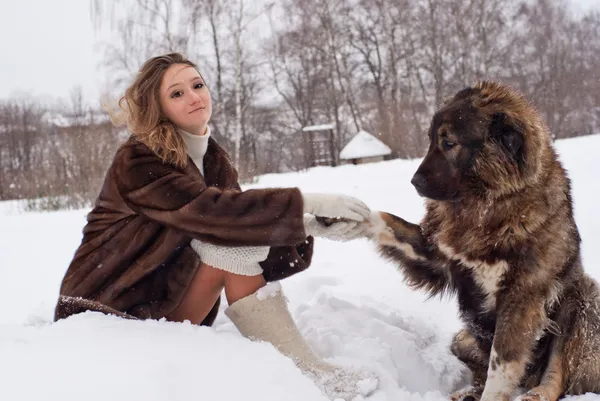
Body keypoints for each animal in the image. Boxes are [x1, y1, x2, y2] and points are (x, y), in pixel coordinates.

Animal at [366, 81, 600, 400]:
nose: (414, 182)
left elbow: (501, 364)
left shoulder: (522, 299)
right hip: (462, 338)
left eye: (448, 143)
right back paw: (468, 392)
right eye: (431, 141)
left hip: (581, 299)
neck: (485, 210)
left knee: (557, 375)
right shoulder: (437, 257)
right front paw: (343, 214)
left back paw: (535, 393)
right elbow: (389, 223)